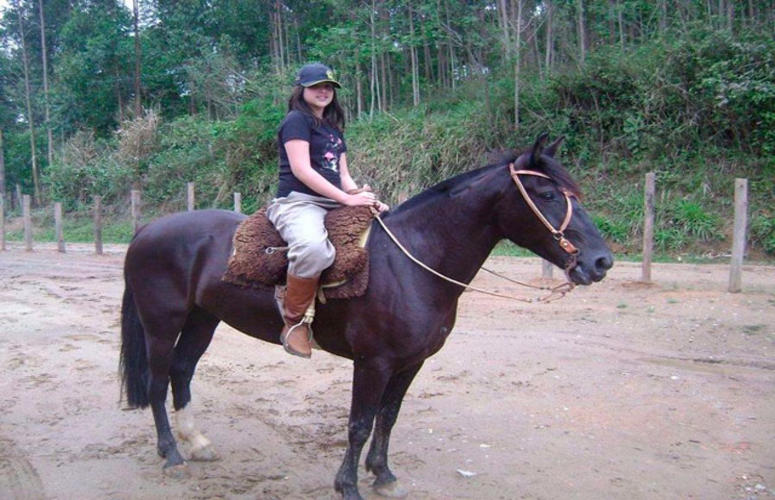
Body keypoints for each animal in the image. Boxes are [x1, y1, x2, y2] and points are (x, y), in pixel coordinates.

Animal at [119, 134, 613, 500]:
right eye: (546, 194)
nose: (601, 261)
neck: (414, 261)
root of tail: (147, 230)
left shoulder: (410, 362)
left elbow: (387, 418)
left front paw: (383, 475)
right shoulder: (373, 363)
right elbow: (358, 424)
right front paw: (349, 485)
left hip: (203, 319)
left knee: (182, 372)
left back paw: (197, 443)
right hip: (161, 324)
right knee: (158, 381)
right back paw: (171, 455)